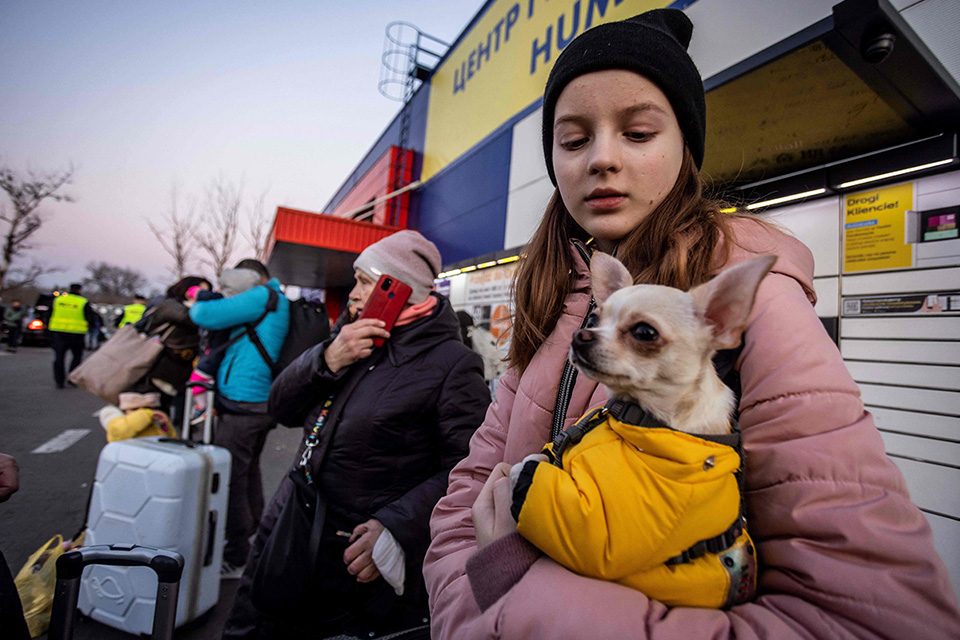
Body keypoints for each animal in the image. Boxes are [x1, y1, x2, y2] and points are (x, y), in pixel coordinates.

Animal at [510, 251, 772, 608]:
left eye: (644, 332)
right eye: (594, 319)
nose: (580, 335)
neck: (636, 413)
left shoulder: (598, 533)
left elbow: (534, 476)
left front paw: (521, 470)